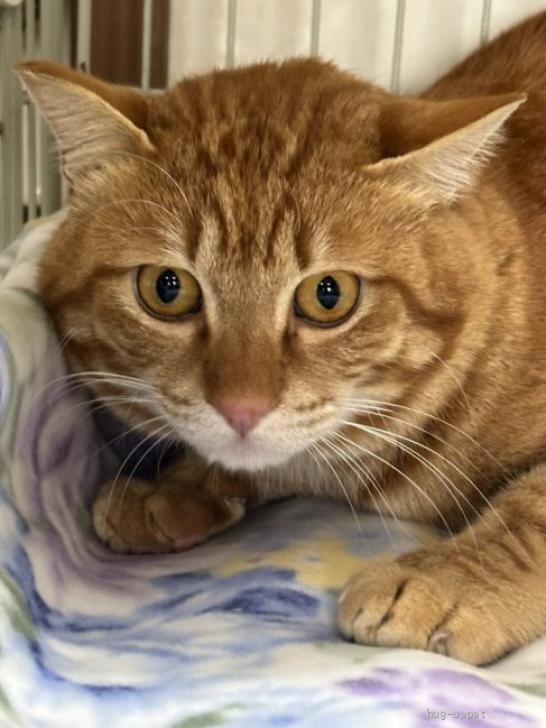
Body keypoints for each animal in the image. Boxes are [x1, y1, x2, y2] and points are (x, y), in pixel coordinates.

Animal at [15, 10, 546, 666]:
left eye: (329, 295)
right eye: (167, 289)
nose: (243, 407)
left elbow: (531, 517)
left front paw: (447, 581)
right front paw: (175, 490)